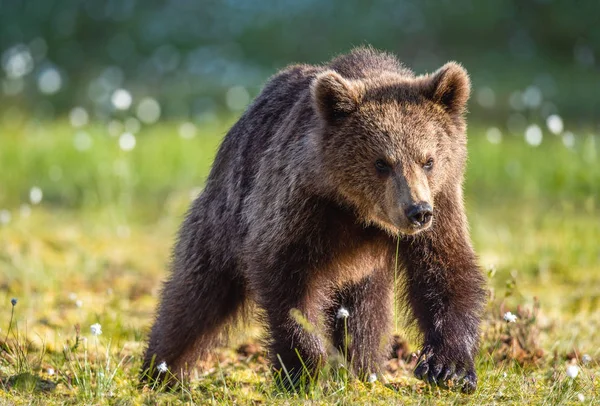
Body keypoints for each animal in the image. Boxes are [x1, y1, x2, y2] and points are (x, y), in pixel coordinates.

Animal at [142, 46, 488, 394]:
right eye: (381, 162)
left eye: (428, 160)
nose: (417, 211)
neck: (358, 212)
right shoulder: (301, 208)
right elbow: (288, 282)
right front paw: (304, 369)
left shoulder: (441, 204)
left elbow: (447, 271)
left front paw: (448, 367)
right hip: (224, 217)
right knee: (197, 297)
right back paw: (160, 370)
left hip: (365, 272)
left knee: (366, 316)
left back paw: (363, 370)